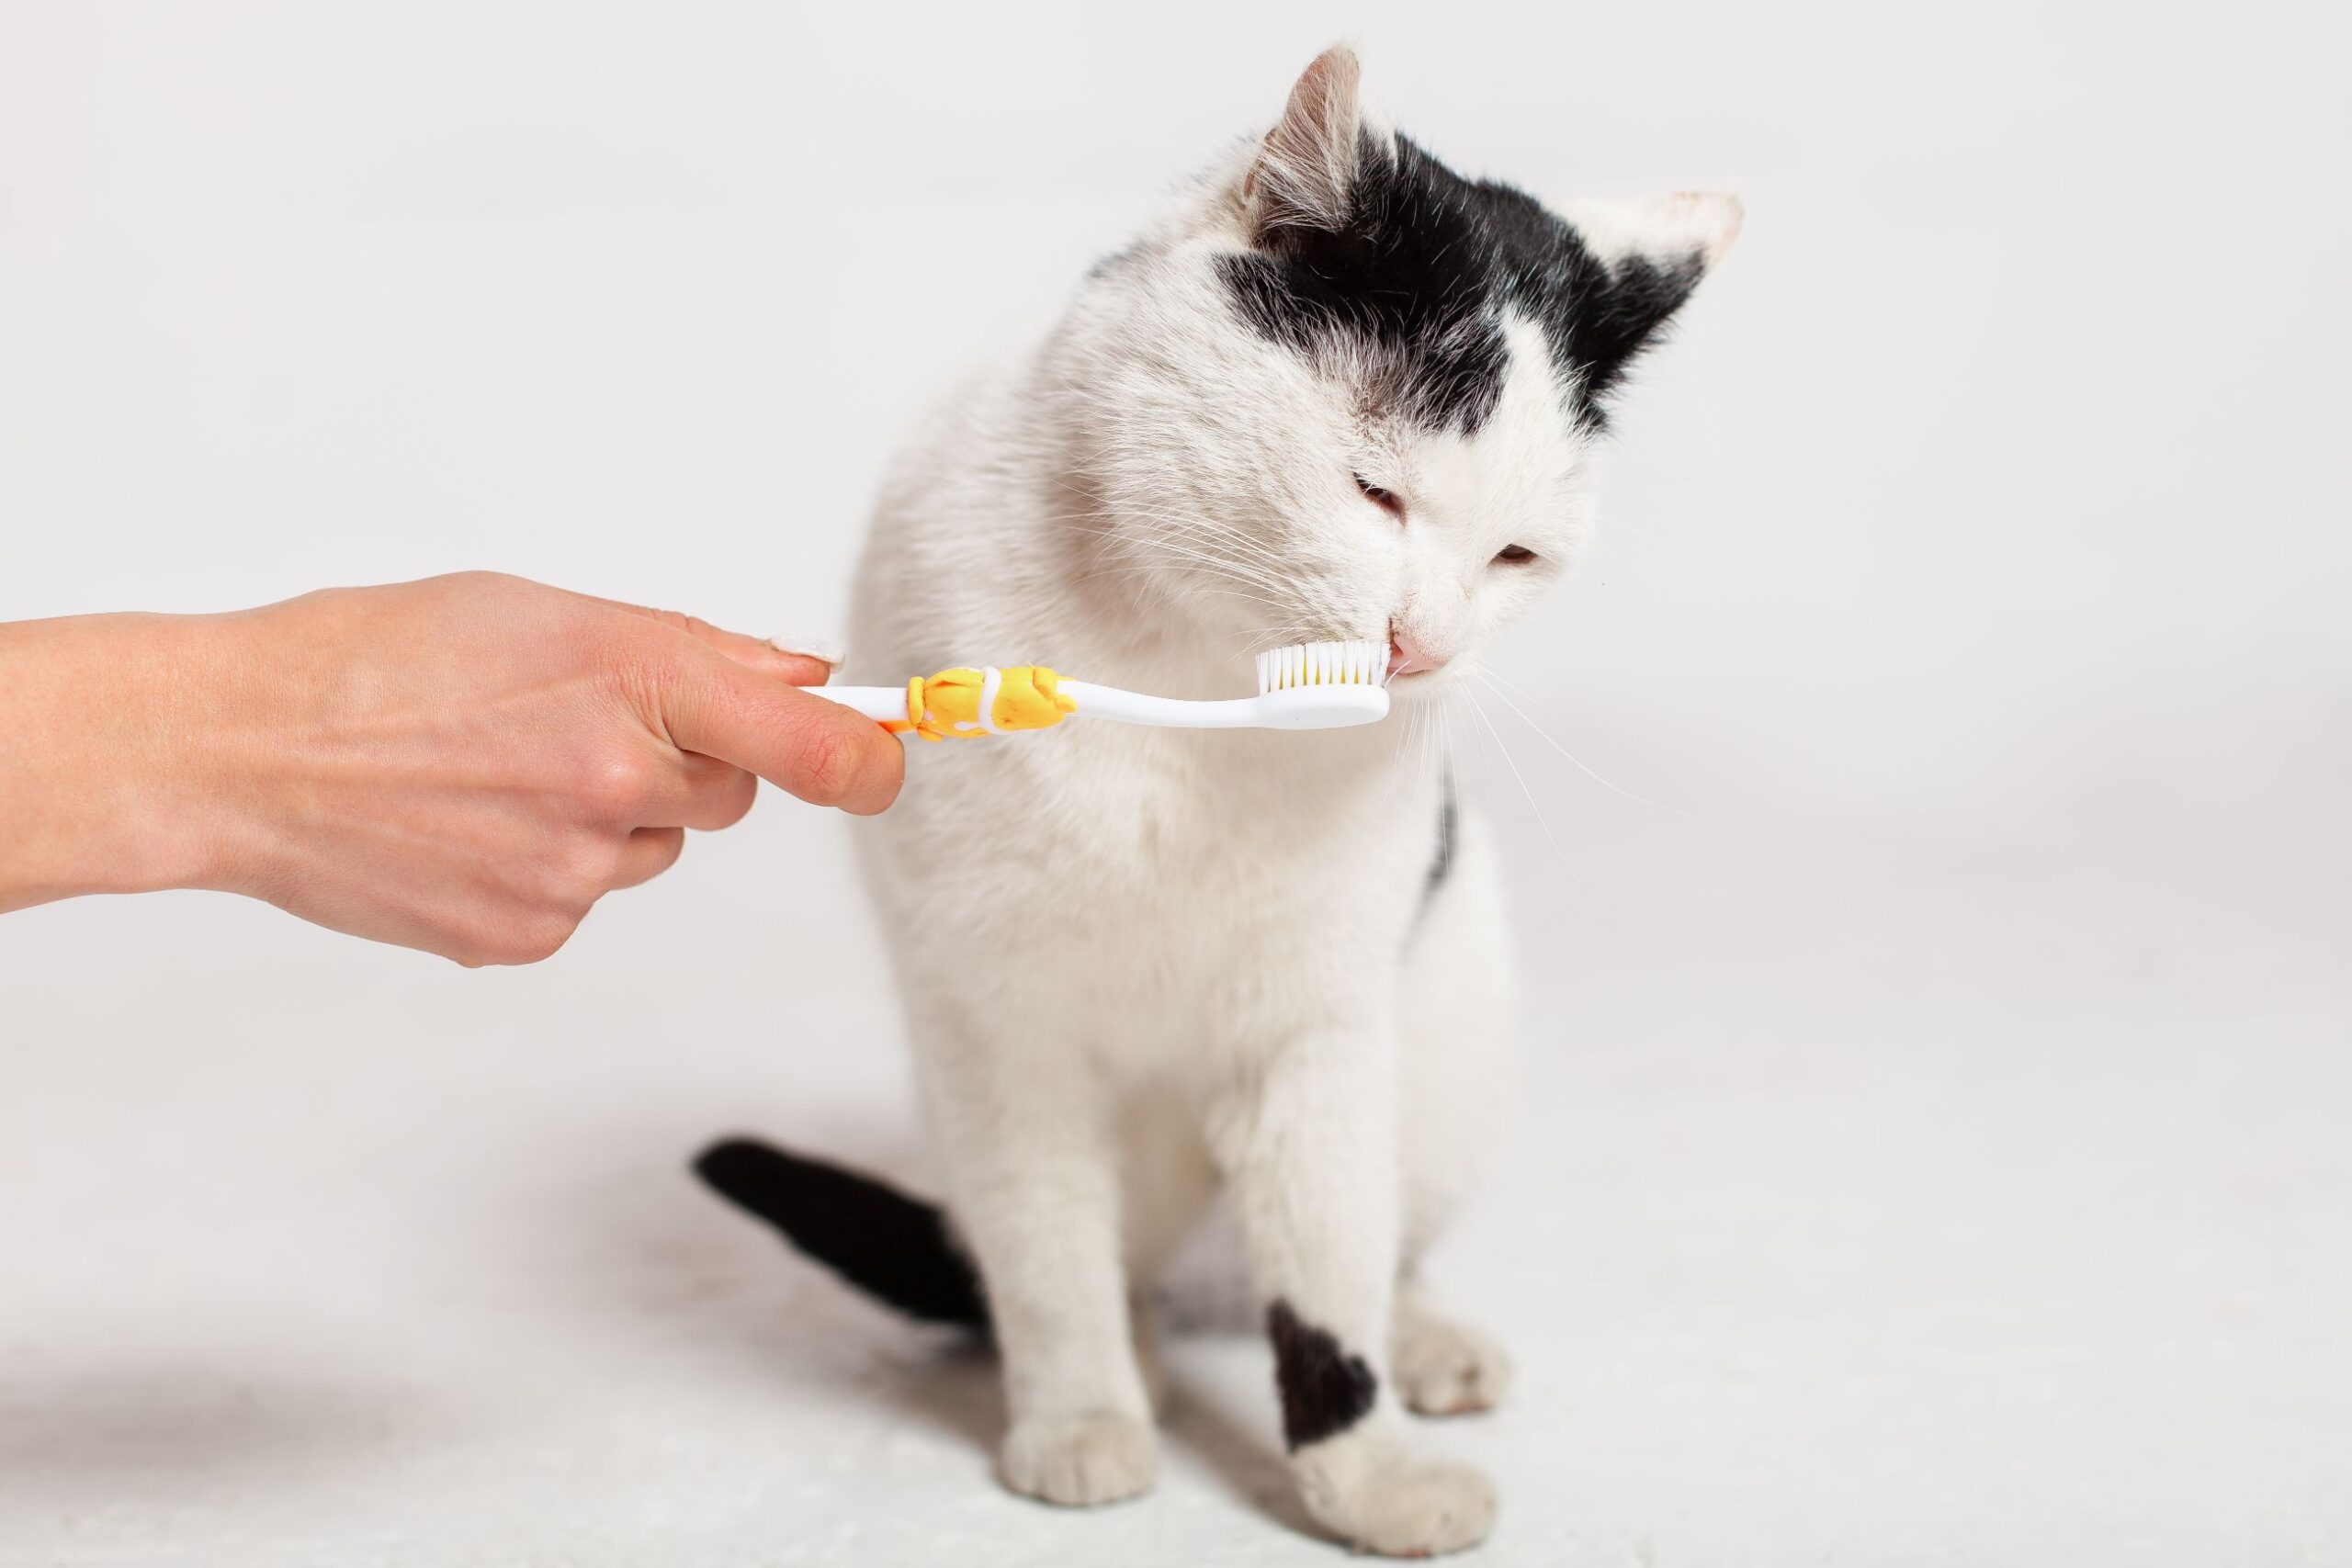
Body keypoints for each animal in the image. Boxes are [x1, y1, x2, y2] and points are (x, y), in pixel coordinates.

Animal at [686, 49, 1740, 1561]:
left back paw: (1425, 1341)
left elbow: (1329, 1283)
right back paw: (1133, 1357)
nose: (1422, 643)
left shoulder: (1314, 1025)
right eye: (1374, 492)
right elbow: (1047, 1250)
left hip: (1447, 1037)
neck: (1187, 673)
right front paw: (1079, 1411)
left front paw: (1363, 1473)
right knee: (1074, 1257)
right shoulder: (1001, 1025)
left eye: (1515, 555)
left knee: (1376, 1247)